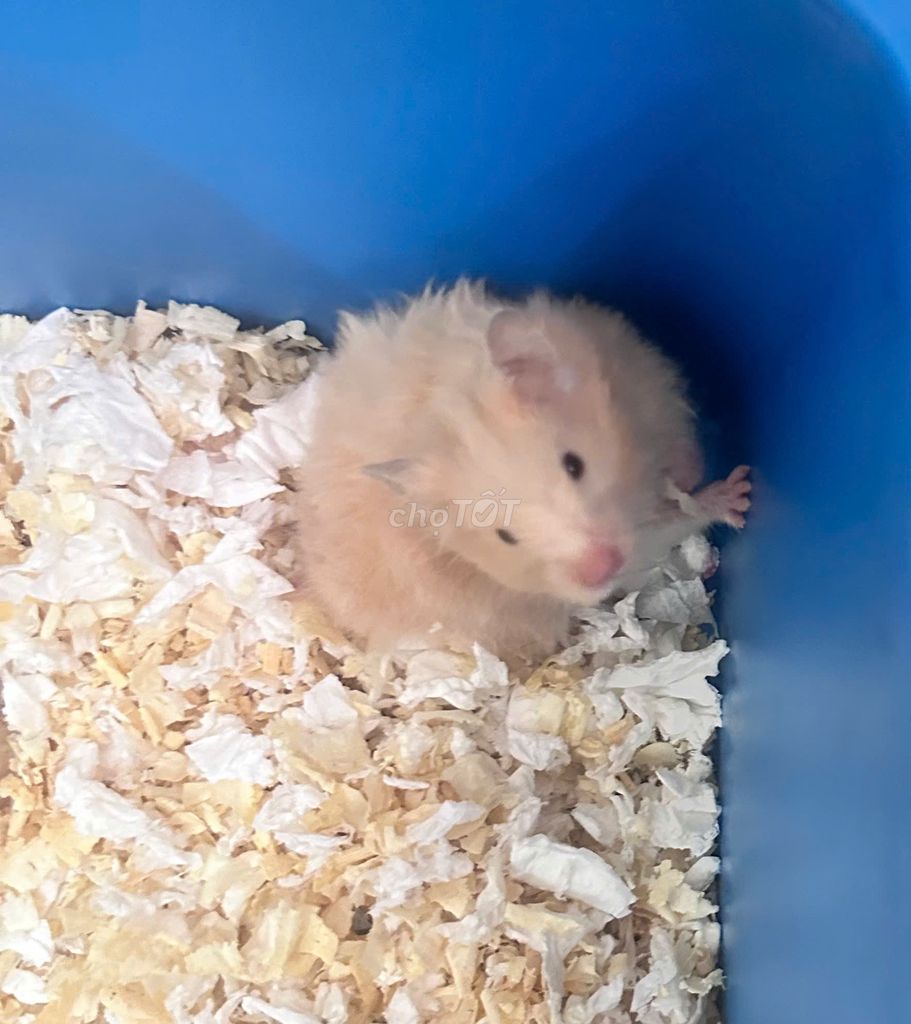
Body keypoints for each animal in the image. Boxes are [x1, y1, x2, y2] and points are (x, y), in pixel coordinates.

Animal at [291, 280, 750, 659]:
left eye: (574, 464)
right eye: (505, 537)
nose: (600, 569)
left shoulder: (643, 380)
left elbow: (679, 450)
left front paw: (716, 480)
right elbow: (674, 525)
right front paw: (739, 497)